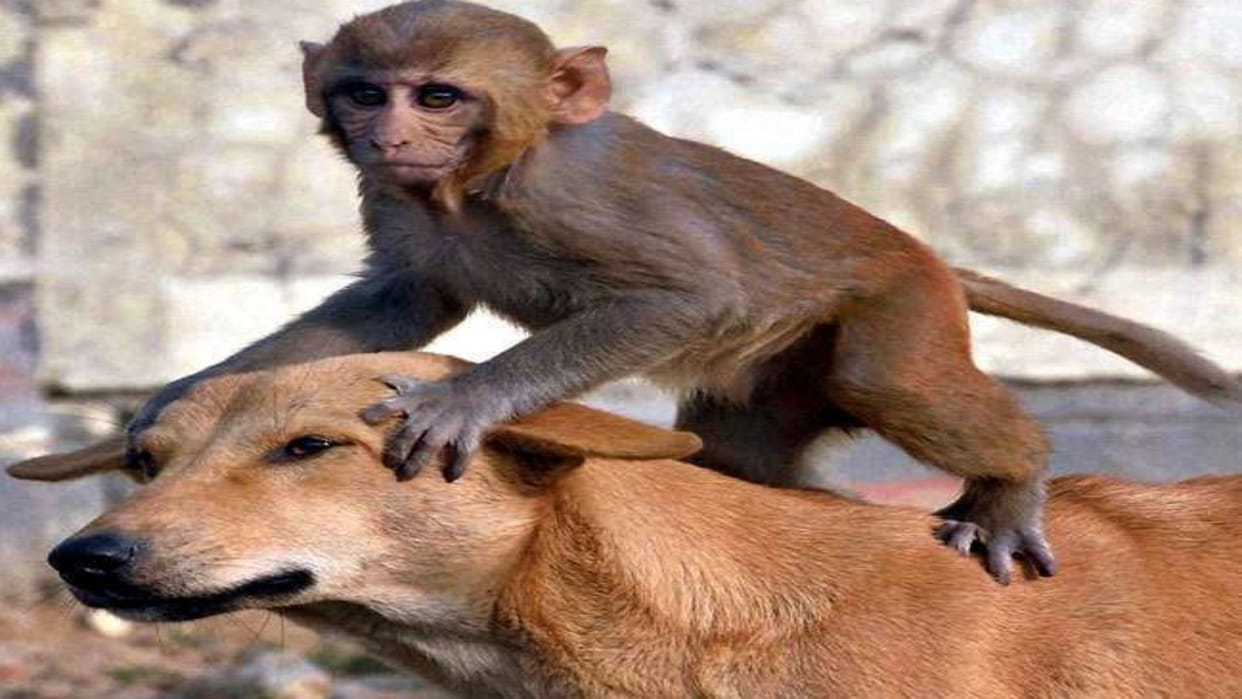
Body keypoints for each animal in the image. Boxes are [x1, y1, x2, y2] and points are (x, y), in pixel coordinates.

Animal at [125, 0, 1241, 584]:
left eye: (438, 95)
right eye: (365, 92)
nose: (390, 131)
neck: (475, 182)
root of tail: (925, 255)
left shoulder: (573, 197)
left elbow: (687, 295)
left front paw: (464, 399)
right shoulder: (396, 205)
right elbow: (393, 307)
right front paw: (186, 391)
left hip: (903, 309)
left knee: (892, 383)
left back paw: (1013, 479)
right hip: (783, 378)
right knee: (746, 447)